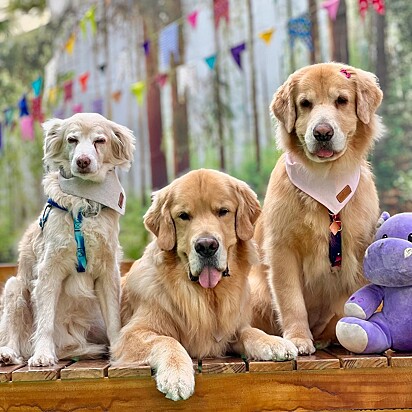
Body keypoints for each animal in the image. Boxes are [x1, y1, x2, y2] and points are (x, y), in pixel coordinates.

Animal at [0, 112, 135, 364]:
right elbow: (45, 321)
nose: (83, 161)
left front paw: (119, 350)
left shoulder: (108, 271)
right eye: (72, 139)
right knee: (13, 333)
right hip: (15, 287)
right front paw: (43, 354)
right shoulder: (49, 268)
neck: (84, 201)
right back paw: (9, 353)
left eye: (99, 141)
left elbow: (114, 320)